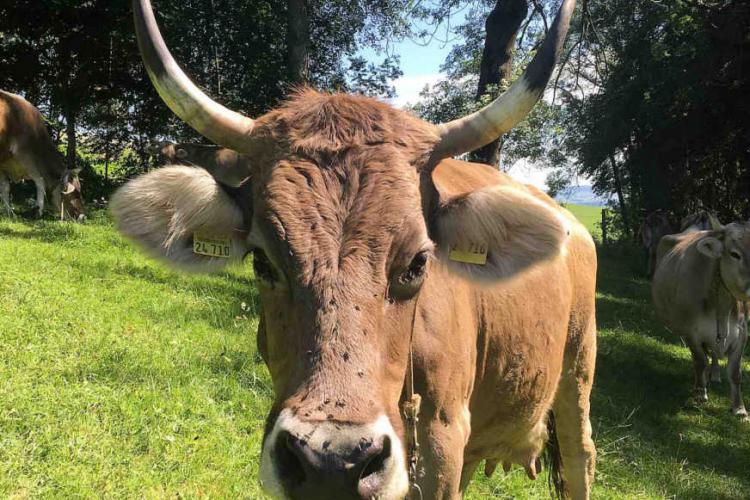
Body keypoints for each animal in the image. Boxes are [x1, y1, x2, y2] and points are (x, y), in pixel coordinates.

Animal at [0, 91, 85, 220]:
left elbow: (5, 187)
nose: (83, 216)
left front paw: (9, 213)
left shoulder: (4, 163)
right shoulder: (25, 156)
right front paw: (38, 210)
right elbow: (40, 181)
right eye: (76, 193)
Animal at [111, 0, 596, 500]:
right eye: (263, 260)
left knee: (581, 454)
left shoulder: (442, 447)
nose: (332, 461)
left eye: (418, 263)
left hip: (577, 373)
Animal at [652, 225, 750, 416]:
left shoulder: (742, 333)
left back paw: (716, 374)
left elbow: (735, 372)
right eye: (735, 254)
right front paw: (700, 394)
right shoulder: (691, 332)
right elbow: (700, 361)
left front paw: (739, 408)